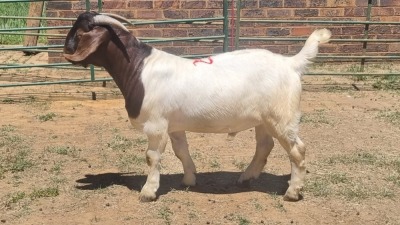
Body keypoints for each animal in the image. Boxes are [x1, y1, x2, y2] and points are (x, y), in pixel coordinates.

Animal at [63, 11, 332, 202]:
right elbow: (181, 151)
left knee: (297, 150)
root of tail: (291, 63)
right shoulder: (173, 126)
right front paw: (189, 179)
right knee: (264, 147)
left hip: (282, 118)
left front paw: (148, 192)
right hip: (265, 120)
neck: (139, 69)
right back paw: (246, 177)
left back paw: (293, 193)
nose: (65, 49)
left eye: (80, 32)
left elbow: (152, 157)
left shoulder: (156, 125)